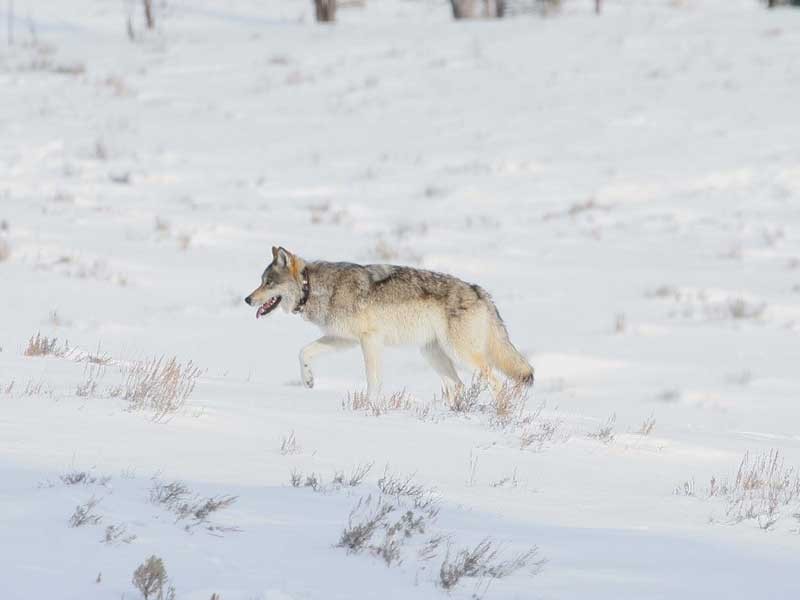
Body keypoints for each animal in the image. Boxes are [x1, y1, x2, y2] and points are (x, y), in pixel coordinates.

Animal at [245, 247, 533, 399]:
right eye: (261, 281)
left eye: (268, 283)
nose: (247, 299)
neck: (314, 288)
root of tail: (480, 291)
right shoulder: (343, 340)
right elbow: (303, 351)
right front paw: (308, 381)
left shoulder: (370, 340)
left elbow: (373, 380)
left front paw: (369, 405)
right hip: (433, 355)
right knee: (459, 387)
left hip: (462, 355)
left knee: (496, 383)